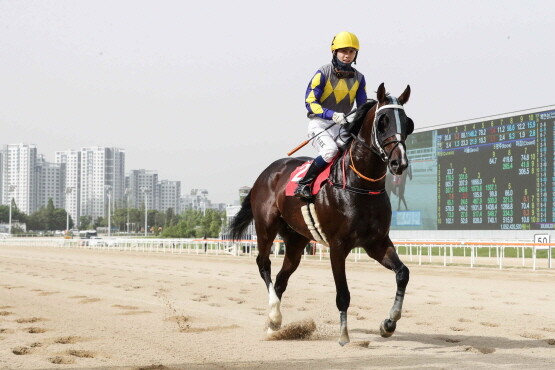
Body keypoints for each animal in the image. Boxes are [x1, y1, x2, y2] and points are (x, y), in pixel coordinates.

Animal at [228, 82, 414, 346]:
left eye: (408, 123)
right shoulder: (338, 246)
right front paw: (344, 336)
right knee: (263, 265)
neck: (360, 184)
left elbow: (402, 274)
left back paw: (275, 327)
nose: (400, 163)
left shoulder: (376, 242)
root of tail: (265, 173)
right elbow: (343, 294)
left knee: (282, 279)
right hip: (265, 228)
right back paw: (274, 315)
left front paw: (388, 323)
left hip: (296, 240)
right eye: (383, 121)